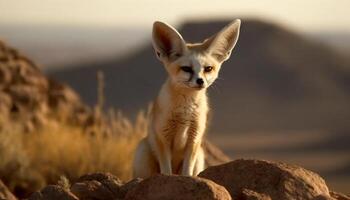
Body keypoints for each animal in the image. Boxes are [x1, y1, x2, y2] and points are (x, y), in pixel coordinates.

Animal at [133, 19, 241, 177]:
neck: (185, 111)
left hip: (200, 155)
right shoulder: (163, 138)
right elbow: (166, 171)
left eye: (208, 69)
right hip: (143, 152)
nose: (200, 81)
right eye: (186, 69)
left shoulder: (194, 138)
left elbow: (187, 171)